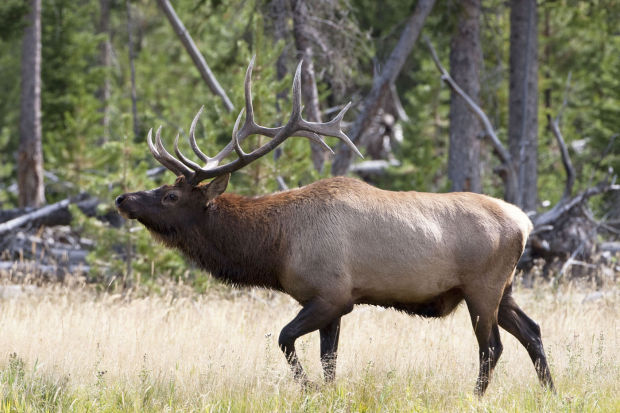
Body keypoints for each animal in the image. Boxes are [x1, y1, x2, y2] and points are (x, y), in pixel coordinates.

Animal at [115, 58, 552, 396]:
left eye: (171, 196)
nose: (123, 199)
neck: (275, 248)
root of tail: (525, 221)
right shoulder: (337, 301)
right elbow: (330, 360)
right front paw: (325, 390)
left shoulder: (331, 294)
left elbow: (286, 339)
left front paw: (308, 388)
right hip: (505, 288)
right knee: (532, 331)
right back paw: (550, 391)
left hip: (482, 287)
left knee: (492, 347)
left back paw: (475, 396)